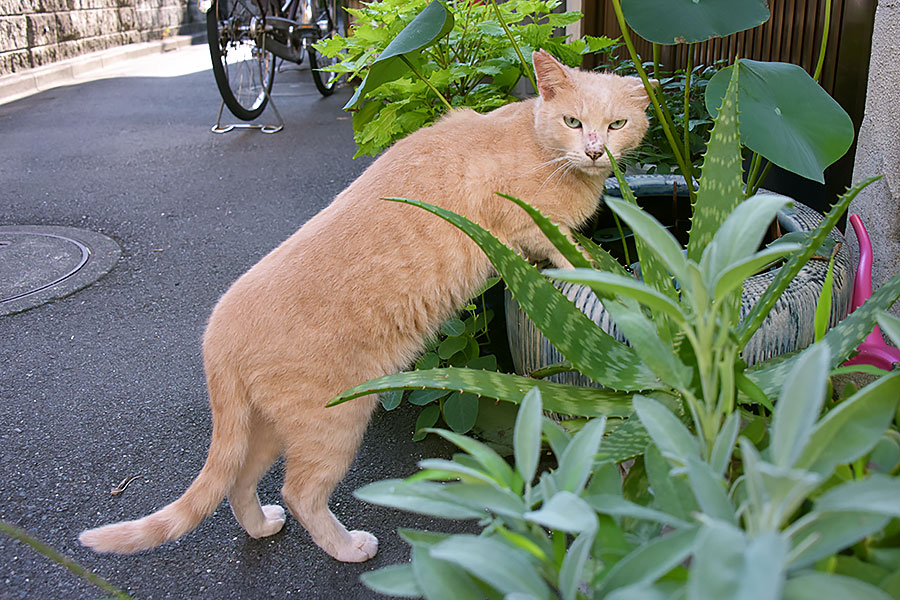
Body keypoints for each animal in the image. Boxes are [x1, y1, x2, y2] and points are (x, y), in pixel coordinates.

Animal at [81, 50, 652, 564]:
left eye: (616, 124)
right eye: (573, 122)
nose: (596, 151)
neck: (541, 147)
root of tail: (215, 330)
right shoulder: (520, 223)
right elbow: (565, 249)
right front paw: (603, 270)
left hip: (266, 428)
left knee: (237, 484)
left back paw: (262, 526)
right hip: (332, 423)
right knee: (300, 493)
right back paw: (348, 548)